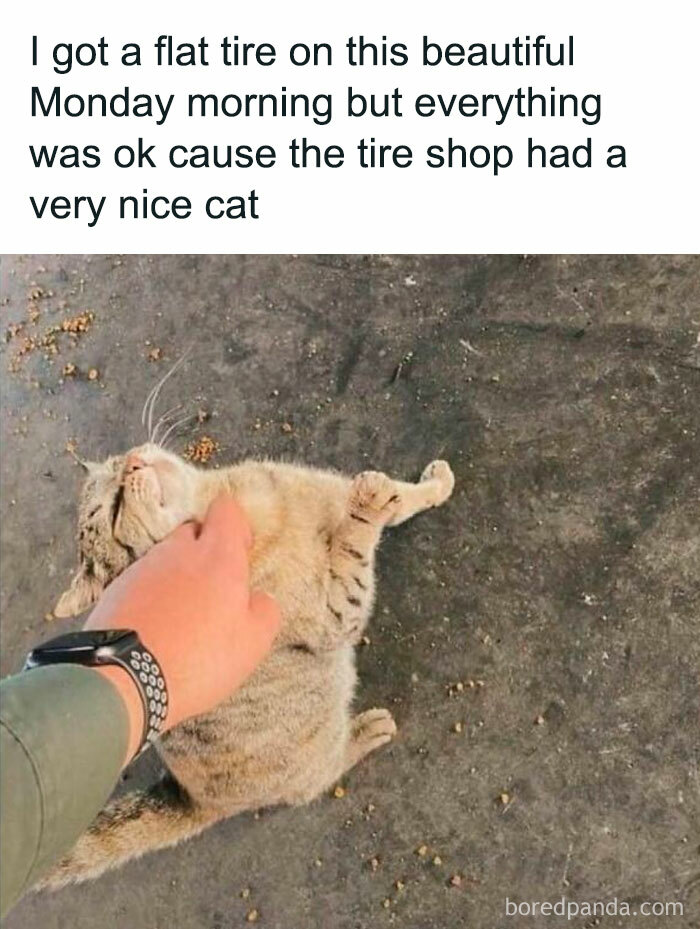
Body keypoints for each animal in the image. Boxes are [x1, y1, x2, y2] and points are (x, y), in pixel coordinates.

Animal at [42, 432, 454, 888]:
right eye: (114, 509)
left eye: (118, 466)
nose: (132, 461)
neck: (235, 504)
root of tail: (192, 798)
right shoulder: (335, 616)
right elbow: (354, 553)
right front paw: (368, 507)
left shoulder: (329, 492)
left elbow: (405, 499)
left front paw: (431, 485)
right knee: (313, 782)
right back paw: (367, 731)